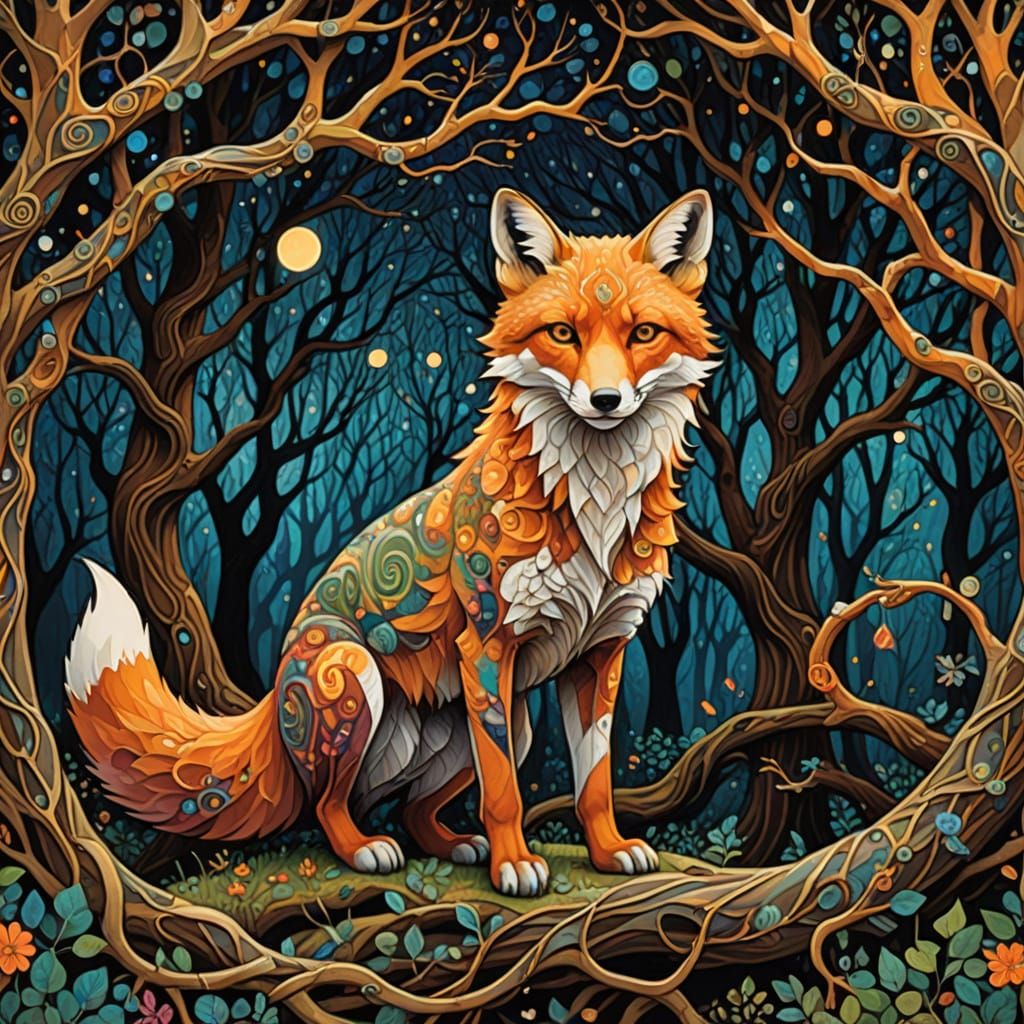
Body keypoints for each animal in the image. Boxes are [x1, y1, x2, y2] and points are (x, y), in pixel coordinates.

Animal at [65, 187, 718, 897]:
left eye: (642, 334)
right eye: (563, 333)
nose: (604, 400)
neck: (592, 507)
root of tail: (270, 707)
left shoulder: (601, 653)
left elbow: (594, 782)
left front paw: (607, 852)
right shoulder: (486, 645)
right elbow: (504, 794)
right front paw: (514, 864)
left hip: (504, 720)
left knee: (411, 809)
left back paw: (454, 845)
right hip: (353, 675)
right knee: (328, 805)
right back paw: (366, 850)